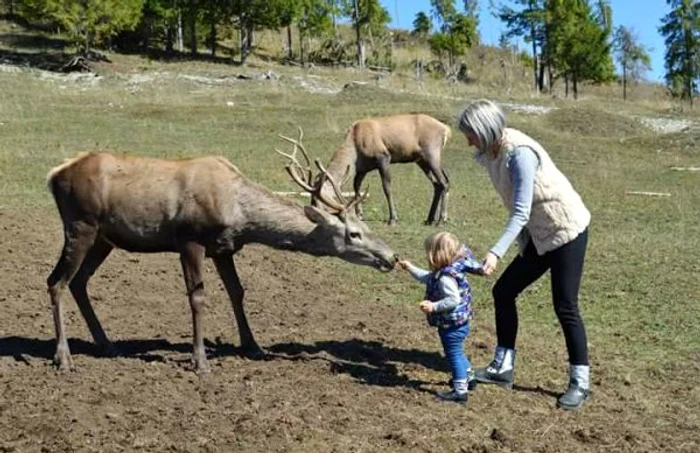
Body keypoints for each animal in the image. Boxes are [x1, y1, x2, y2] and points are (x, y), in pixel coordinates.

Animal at [46, 140, 396, 370]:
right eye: (354, 233)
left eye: (365, 225)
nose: (391, 256)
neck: (239, 215)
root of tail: (54, 174)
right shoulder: (190, 239)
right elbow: (198, 297)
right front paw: (200, 360)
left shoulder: (223, 248)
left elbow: (237, 291)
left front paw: (253, 346)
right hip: (80, 224)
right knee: (56, 281)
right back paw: (63, 357)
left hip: (104, 238)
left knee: (78, 282)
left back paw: (107, 344)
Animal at [314, 114, 452, 225]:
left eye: (321, 199)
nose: (317, 215)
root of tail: (445, 129)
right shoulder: (363, 169)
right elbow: (356, 187)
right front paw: (359, 214)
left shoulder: (383, 157)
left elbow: (386, 187)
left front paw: (393, 219)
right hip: (421, 161)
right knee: (438, 183)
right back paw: (430, 218)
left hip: (431, 154)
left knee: (444, 181)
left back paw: (442, 219)